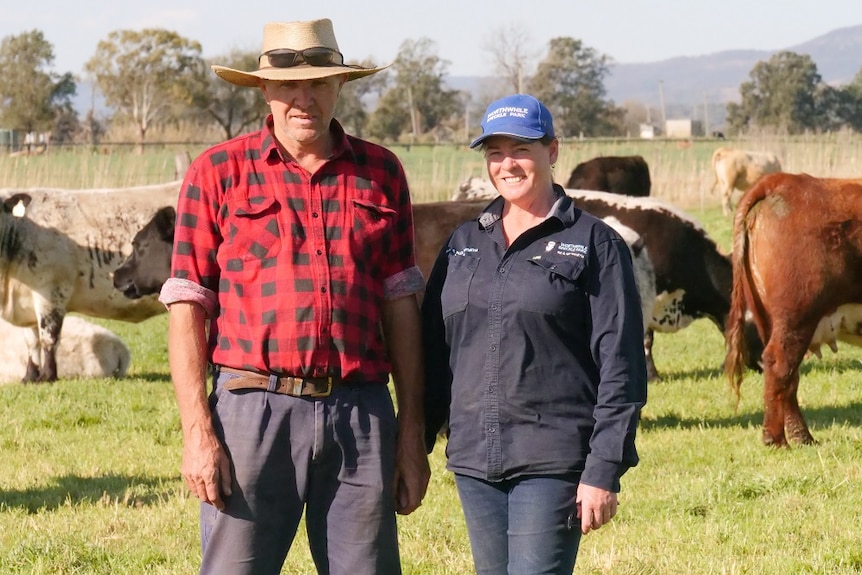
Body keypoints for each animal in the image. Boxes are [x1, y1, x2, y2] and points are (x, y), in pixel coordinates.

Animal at [724, 173, 862, 448]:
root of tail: (783, 180)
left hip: (772, 320)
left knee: (788, 377)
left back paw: (801, 437)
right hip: (798, 315)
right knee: (780, 365)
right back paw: (776, 439)